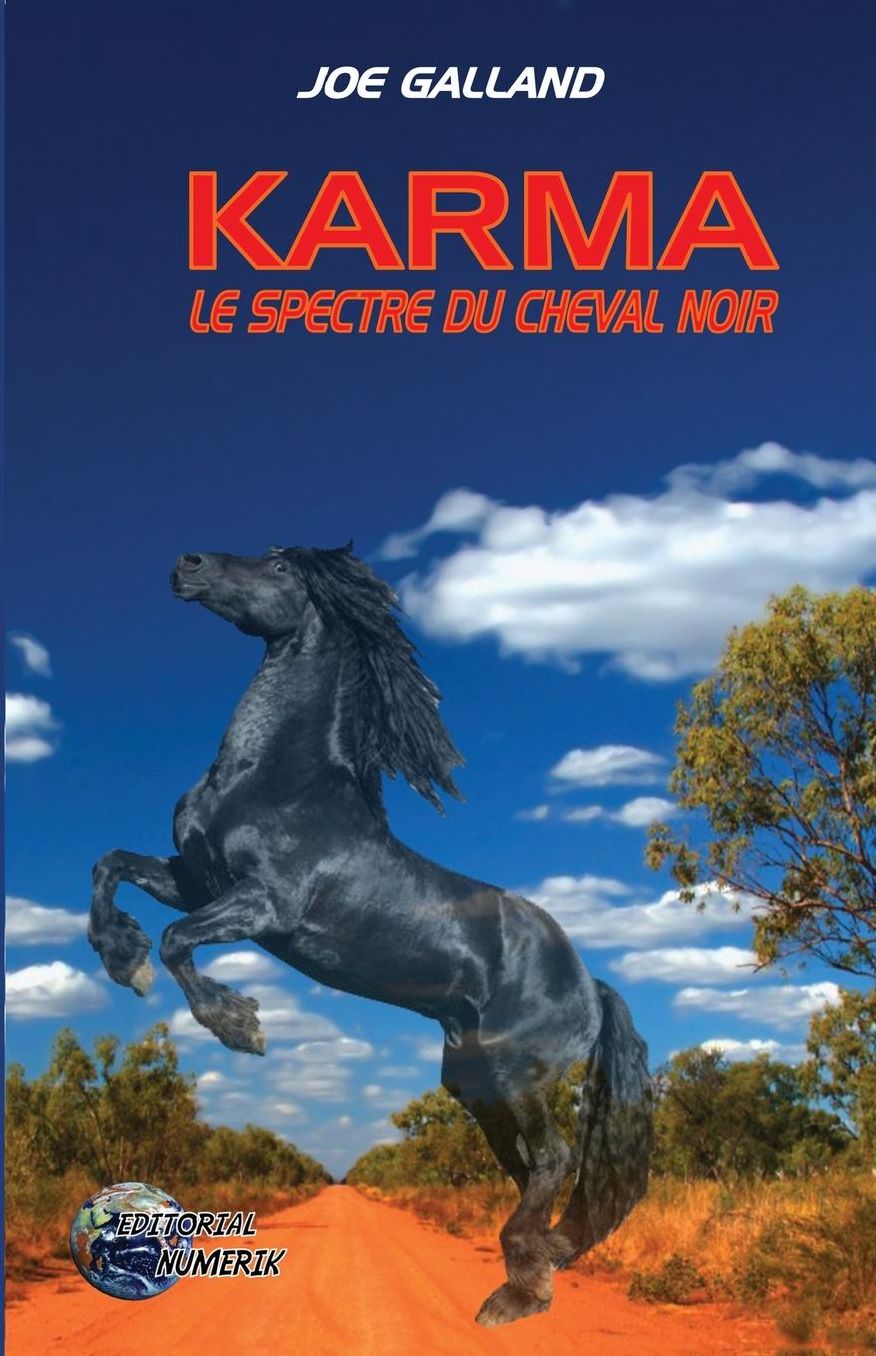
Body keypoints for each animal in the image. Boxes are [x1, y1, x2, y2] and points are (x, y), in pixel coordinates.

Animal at [89, 543, 653, 1326]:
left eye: (280, 568)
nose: (188, 564)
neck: (277, 780)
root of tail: (591, 986)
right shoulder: (193, 878)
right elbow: (110, 866)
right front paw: (121, 958)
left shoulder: (262, 905)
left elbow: (176, 940)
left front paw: (240, 1026)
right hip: (475, 1083)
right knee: (526, 1169)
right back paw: (534, 1278)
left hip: (517, 1073)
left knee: (553, 1159)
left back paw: (513, 1293)